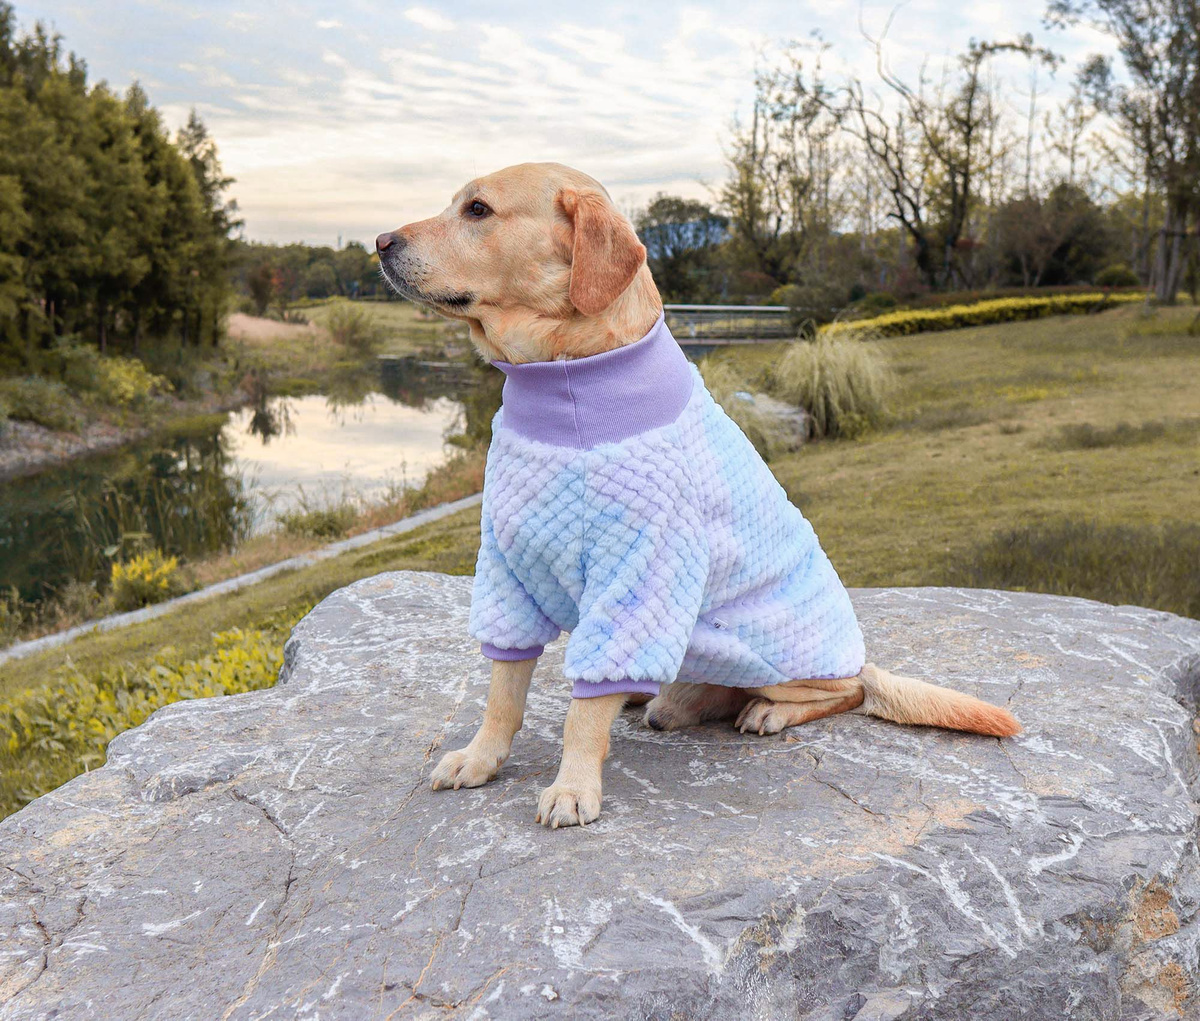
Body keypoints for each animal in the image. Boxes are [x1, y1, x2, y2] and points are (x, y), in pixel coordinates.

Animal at [376, 161, 1022, 830]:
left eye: (477, 210)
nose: (379, 243)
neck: (563, 389)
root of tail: (855, 653)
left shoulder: (639, 574)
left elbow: (583, 712)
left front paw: (574, 784)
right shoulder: (509, 569)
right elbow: (503, 690)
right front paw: (481, 758)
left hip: (781, 652)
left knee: (848, 690)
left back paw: (768, 709)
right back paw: (661, 695)